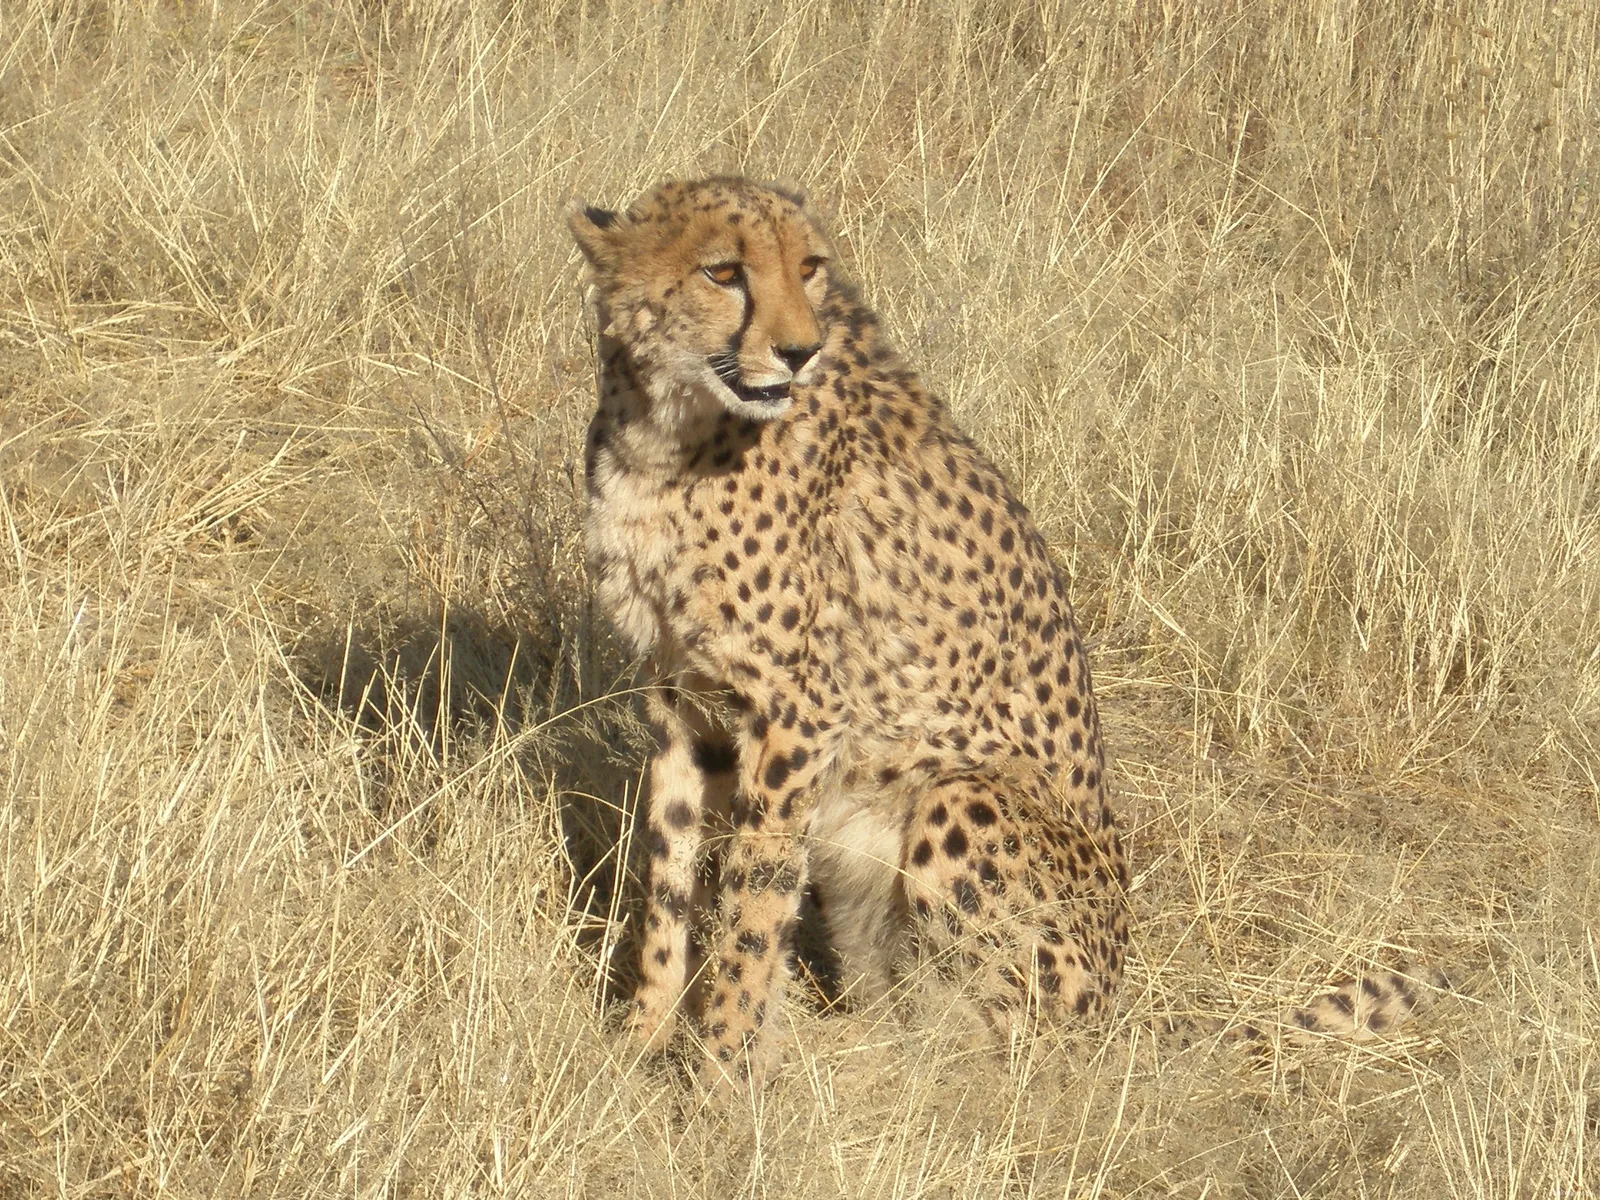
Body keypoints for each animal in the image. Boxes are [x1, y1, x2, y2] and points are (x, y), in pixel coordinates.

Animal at [567, 177, 1442, 1088]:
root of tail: (1117, 1013)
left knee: (1012, 1052)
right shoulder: (680, 695)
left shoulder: (800, 713)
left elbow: (754, 899)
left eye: (807, 267)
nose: (799, 352)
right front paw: (641, 1043)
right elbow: (669, 879)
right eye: (724, 271)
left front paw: (720, 1073)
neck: (668, 433)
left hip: (961, 798)